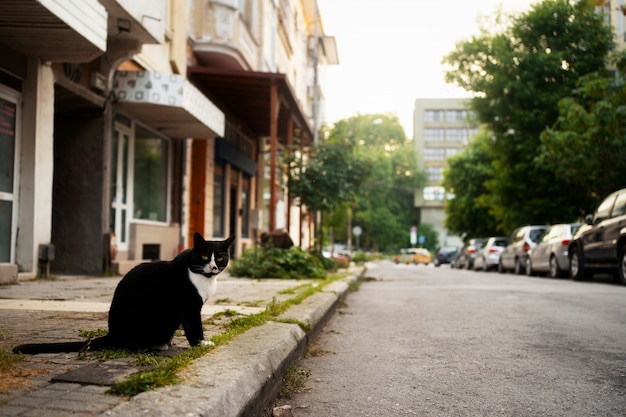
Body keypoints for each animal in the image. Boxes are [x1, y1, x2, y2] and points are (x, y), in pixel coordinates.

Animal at [12, 232, 234, 352]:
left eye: (220, 257)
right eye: (204, 256)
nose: (214, 267)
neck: (205, 278)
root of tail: (112, 334)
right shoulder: (189, 308)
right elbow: (195, 328)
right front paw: (202, 344)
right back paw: (158, 345)